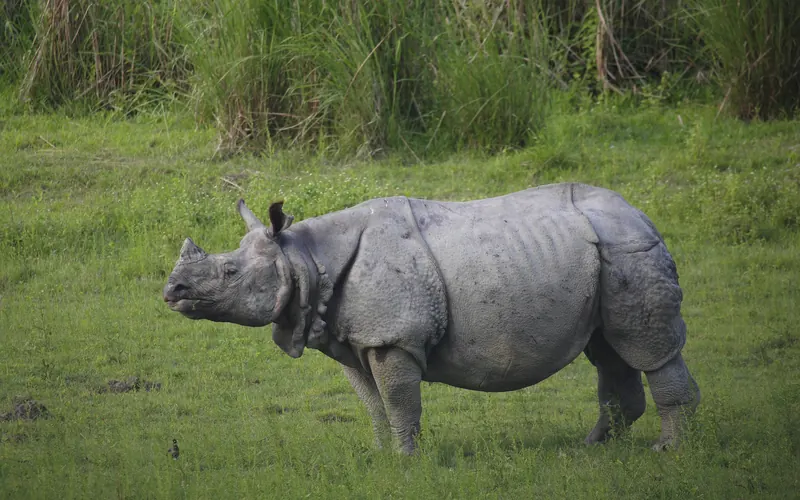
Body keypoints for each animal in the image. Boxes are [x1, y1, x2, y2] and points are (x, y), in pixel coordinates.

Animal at [163, 183, 700, 454]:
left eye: (229, 272)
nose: (172, 291)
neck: (305, 259)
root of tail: (642, 213)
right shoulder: (353, 339)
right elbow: (372, 403)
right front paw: (379, 457)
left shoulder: (392, 337)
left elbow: (399, 400)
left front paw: (406, 460)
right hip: (602, 256)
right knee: (608, 350)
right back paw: (592, 448)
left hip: (627, 247)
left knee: (647, 348)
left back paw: (666, 451)